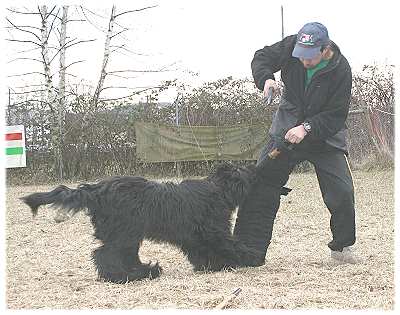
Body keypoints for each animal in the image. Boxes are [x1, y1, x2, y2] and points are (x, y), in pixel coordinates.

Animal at [22, 163, 290, 284]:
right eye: (242, 170)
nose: (256, 168)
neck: (218, 190)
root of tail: (96, 190)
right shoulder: (214, 230)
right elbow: (230, 245)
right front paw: (251, 258)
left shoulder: (193, 236)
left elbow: (201, 252)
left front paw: (212, 266)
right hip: (125, 232)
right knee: (104, 254)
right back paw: (124, 276)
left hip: (128, 234)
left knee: (121, 255)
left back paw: (145, 271)